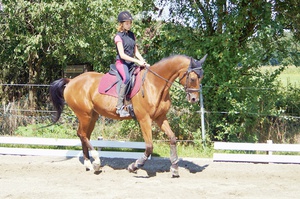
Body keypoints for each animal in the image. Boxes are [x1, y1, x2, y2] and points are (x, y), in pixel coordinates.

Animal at [49, 54, 206, 177]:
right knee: (82, 134)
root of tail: (71, 81)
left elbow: (172, 138)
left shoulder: (160, 118)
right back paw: (96, 162)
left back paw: (89, 164)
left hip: (92, 116)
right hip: (84, 115)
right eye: (193, 78)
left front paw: (174, 168)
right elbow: (149, 146)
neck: (155, 85)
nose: (194, 99)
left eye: (201, 77)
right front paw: (134, 166)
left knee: (84, 135)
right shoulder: (144, 119)